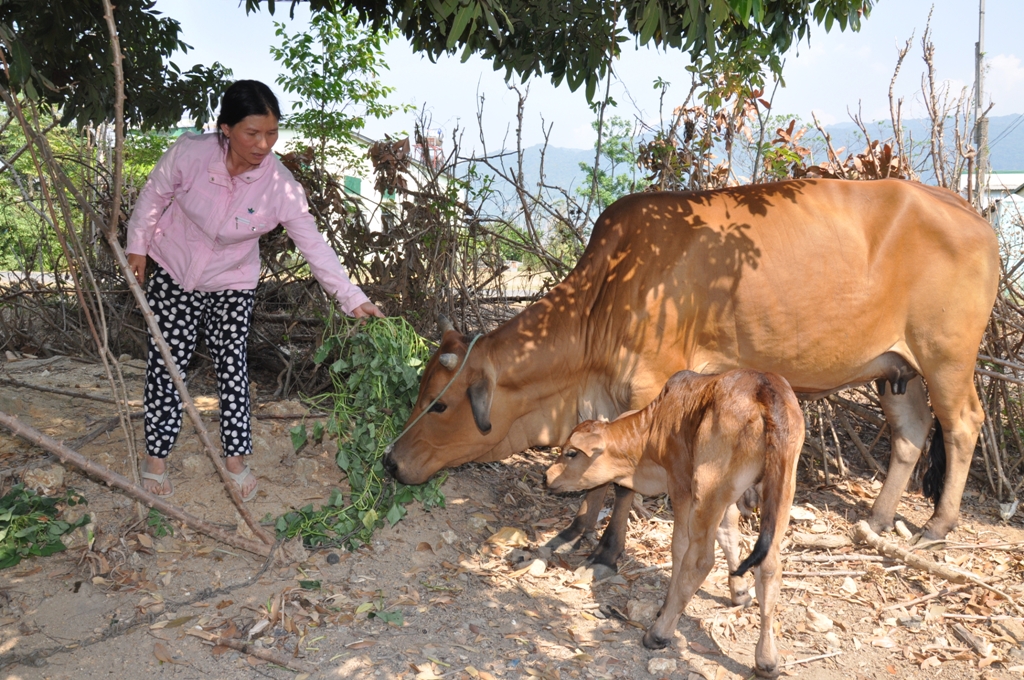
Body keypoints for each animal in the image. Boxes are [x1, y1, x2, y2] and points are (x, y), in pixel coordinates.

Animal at [385, 178, 999, 577]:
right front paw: (572, 531)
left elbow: (623, 480)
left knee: (963, 424)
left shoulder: (649, 388)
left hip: (946, 358)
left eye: (440, 404)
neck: (606, 293)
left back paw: (937, 525)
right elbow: (594, 468)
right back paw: (879, 516)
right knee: (911, 433)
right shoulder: (605, 398)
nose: (390, 461)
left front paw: (607, 553)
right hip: (896, 369)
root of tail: (972, 214)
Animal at [548, 372, 802, 680]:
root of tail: (764, 387)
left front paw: (667, 607)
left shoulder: (681, 484)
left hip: (709, 483)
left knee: (701, 560)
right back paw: (767, 660)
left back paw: (659, 633)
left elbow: (680, 548)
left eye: (571, 453)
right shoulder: (726, 497)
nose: (547, 475)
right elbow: (729, 533)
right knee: (769, 566)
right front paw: (739, 592)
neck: (653, 426)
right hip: (782, 491)